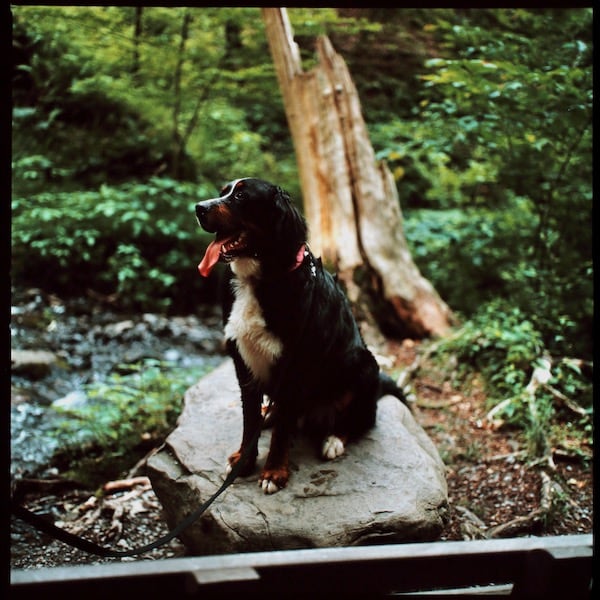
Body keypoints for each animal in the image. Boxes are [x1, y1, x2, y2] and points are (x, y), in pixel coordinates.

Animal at [195, 177, 406, 492]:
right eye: (223, 193)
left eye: (241, 196)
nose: (199, 208)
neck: (261, 279)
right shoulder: (243, 361)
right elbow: (249, 420)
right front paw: (244, 461)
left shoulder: (295, 366)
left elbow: (283, 429)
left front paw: (273, 472)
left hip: (364, 363)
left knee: (362, 418)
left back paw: (334, 439)